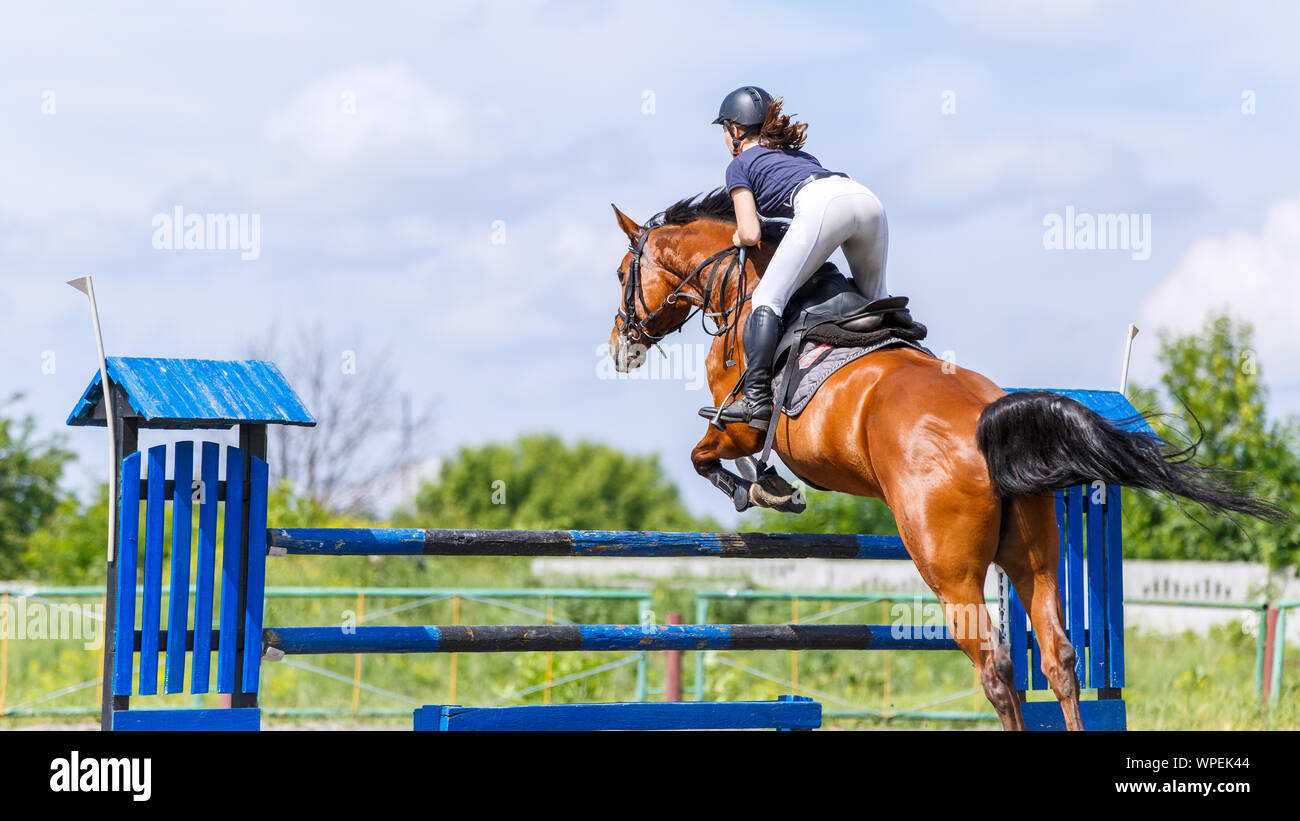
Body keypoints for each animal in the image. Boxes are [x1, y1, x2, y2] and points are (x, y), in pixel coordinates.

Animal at [605, 189, 1279, 727]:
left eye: (619, 273)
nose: (620, 348)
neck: (741, 285)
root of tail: (988, 422)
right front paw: (767, 487)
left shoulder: (741, 426)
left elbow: (706, 455)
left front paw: (762, 489)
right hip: (1035, 554)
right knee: (1059, 657)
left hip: (948, 572)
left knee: (997, 670)